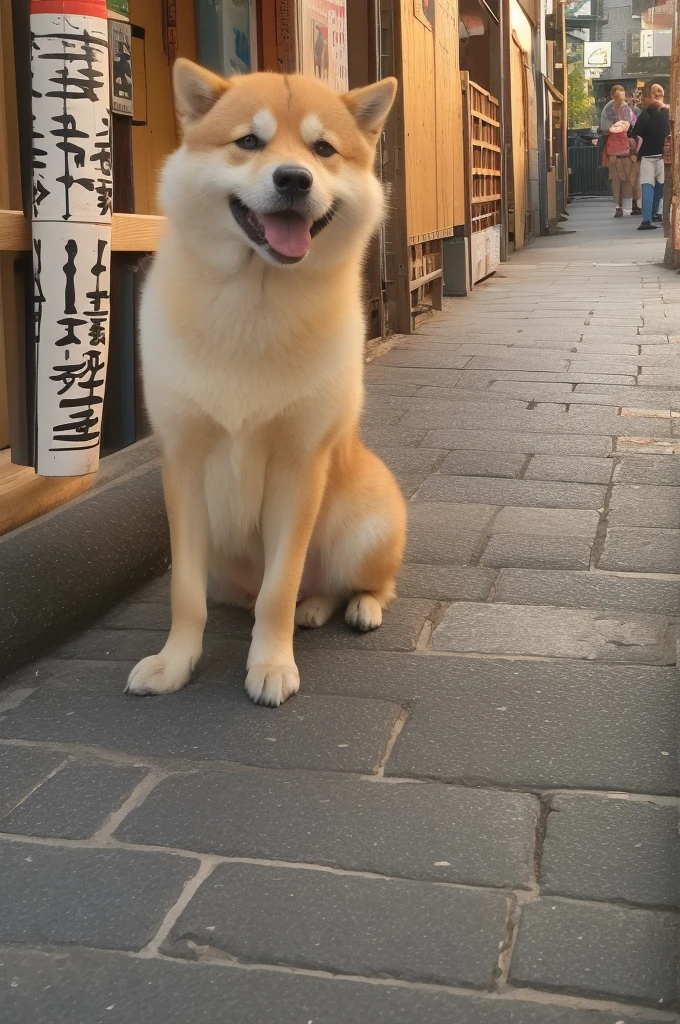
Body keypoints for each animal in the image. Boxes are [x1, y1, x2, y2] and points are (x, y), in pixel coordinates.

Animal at [125, 61, 405, 704]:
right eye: (249, 142)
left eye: (323, 150)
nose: (294, 178)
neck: (255, 300)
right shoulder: (183, 464)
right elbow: (185, 594)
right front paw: (175, 662)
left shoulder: (299, 466)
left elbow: (281, 586)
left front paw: (272, 662)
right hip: (226, 569)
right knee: (293, 592)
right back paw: (315, 609)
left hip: (368, 525)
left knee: (354, 583)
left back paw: (358, 607)